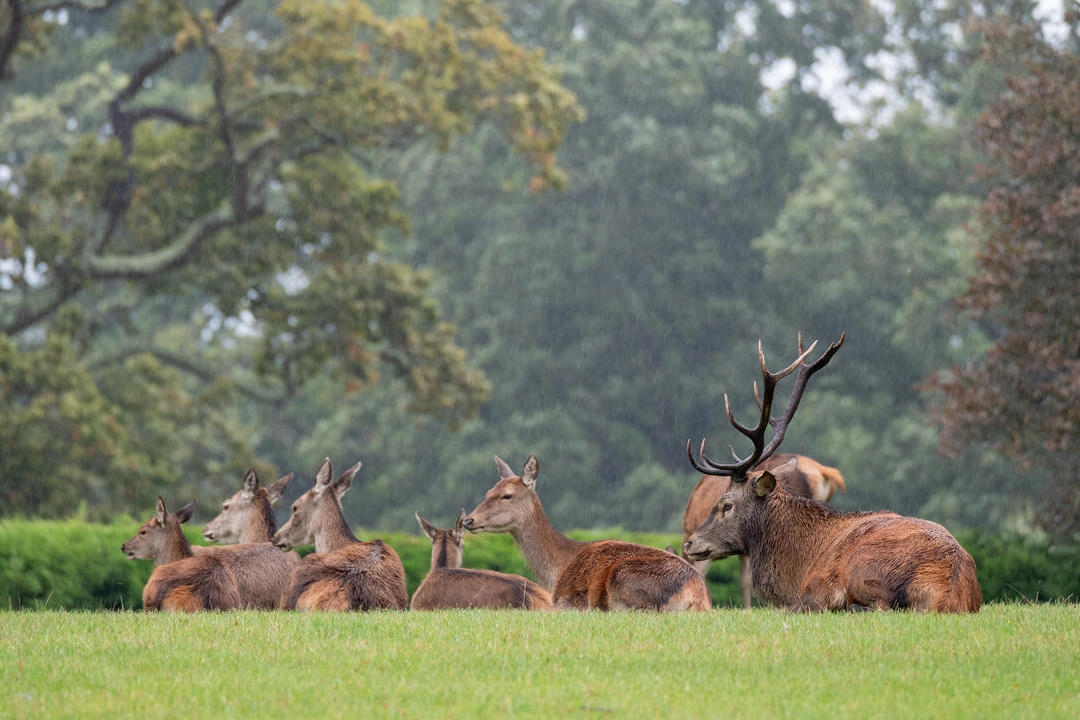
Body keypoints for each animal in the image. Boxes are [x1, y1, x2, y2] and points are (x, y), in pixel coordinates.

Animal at [463, 455, 710, 611]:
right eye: (487, 492)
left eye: (507, 495)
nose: (468, 520)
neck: (556, 571)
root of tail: (696, 595)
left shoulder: (570, 600)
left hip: (624, 577)